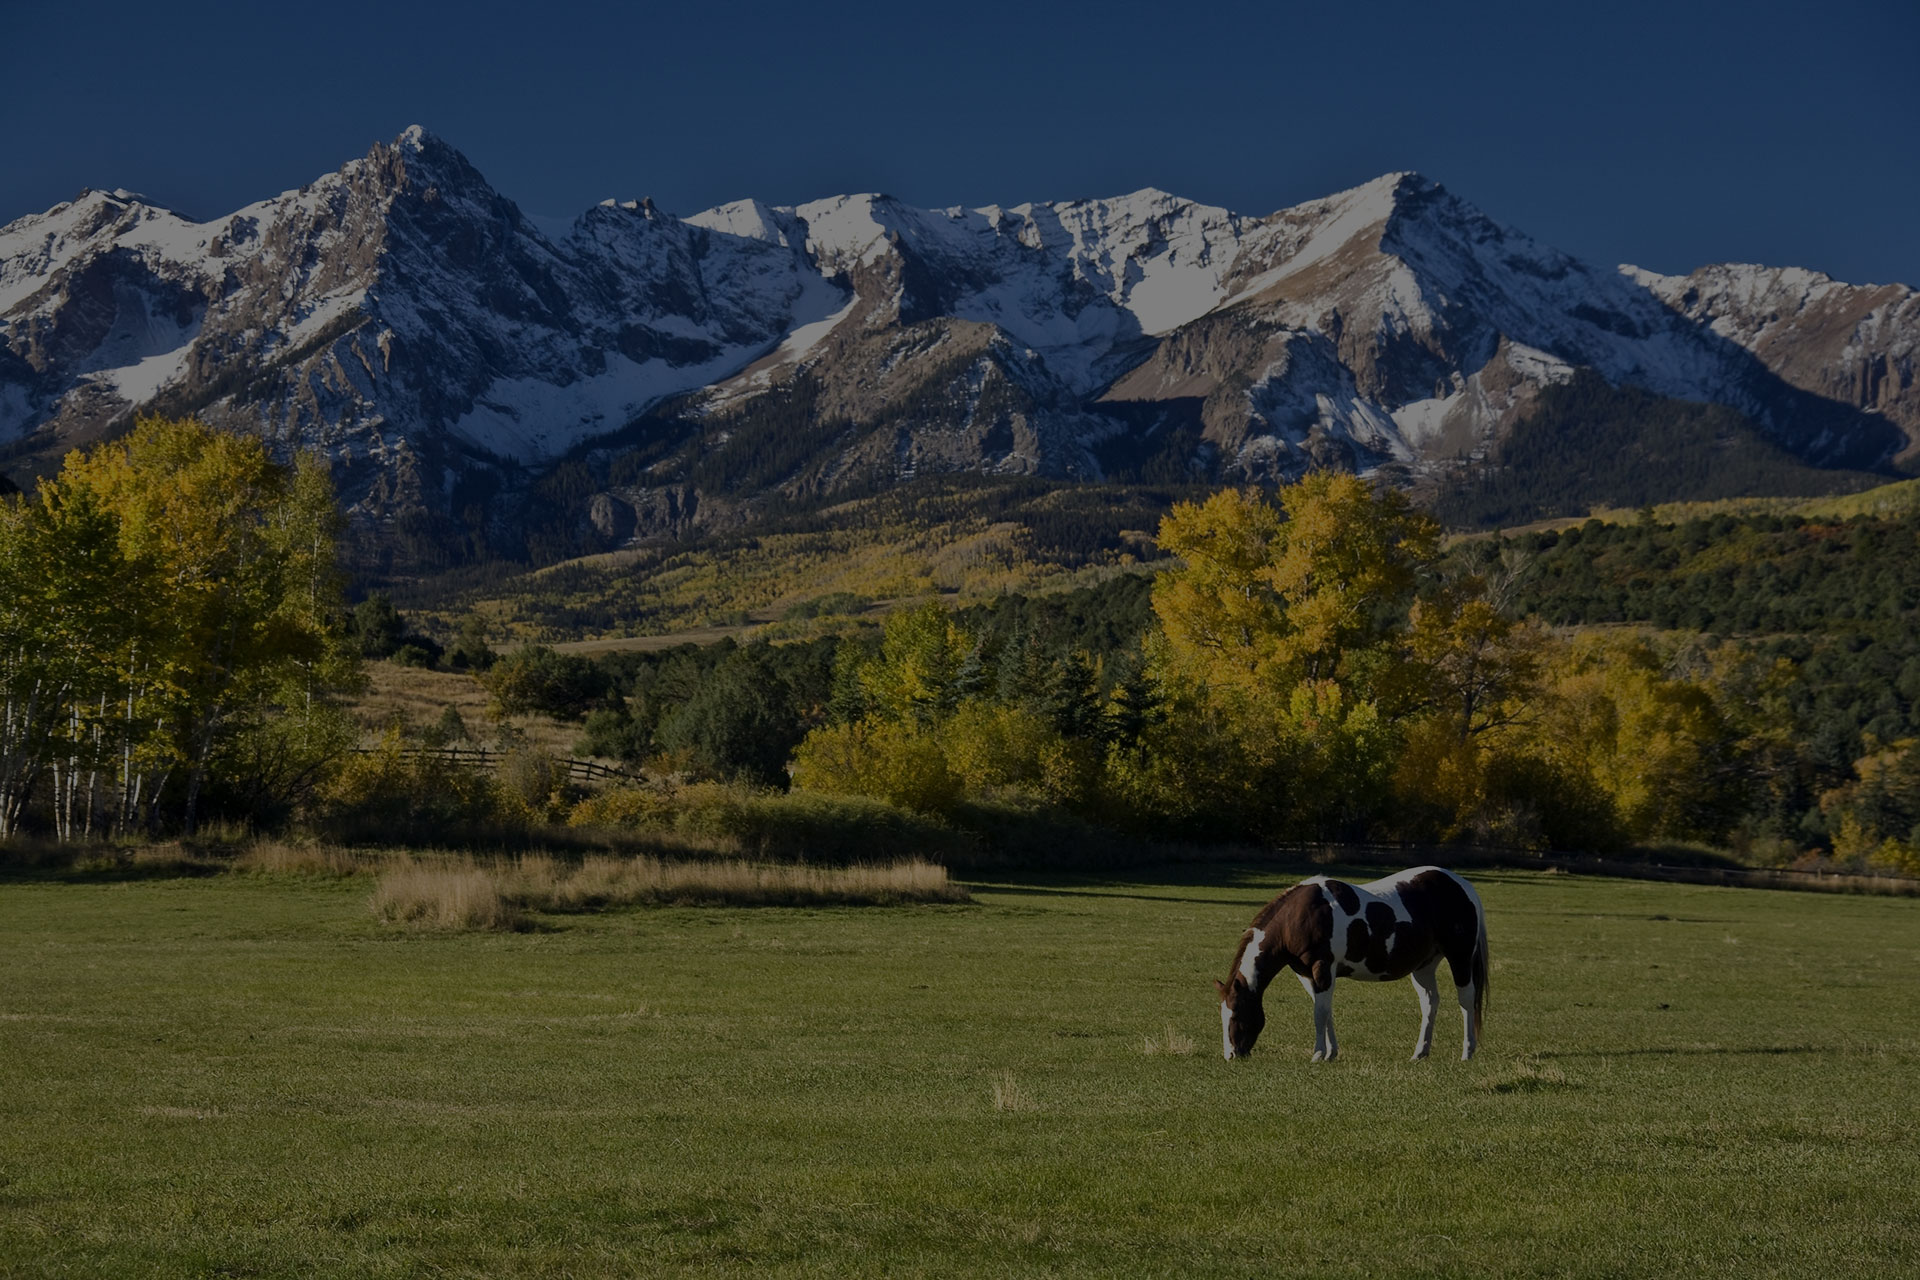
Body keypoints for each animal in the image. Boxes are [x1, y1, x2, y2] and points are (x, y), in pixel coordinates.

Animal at [1213, 867, 1482, 1066]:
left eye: (1236, 1014)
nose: (1231, 1055)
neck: (1298, 917)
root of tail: (1462, 885)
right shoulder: (1307, 975)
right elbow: (1324, 1011)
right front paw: (1331, 1053)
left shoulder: (1322, 969)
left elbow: (1319, 1014)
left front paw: (1317, 1054)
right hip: (1424, 966)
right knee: (1429, 1002)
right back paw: (1420, 1053)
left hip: (1459, 957)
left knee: (1466, 1000)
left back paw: (1468, 1052)